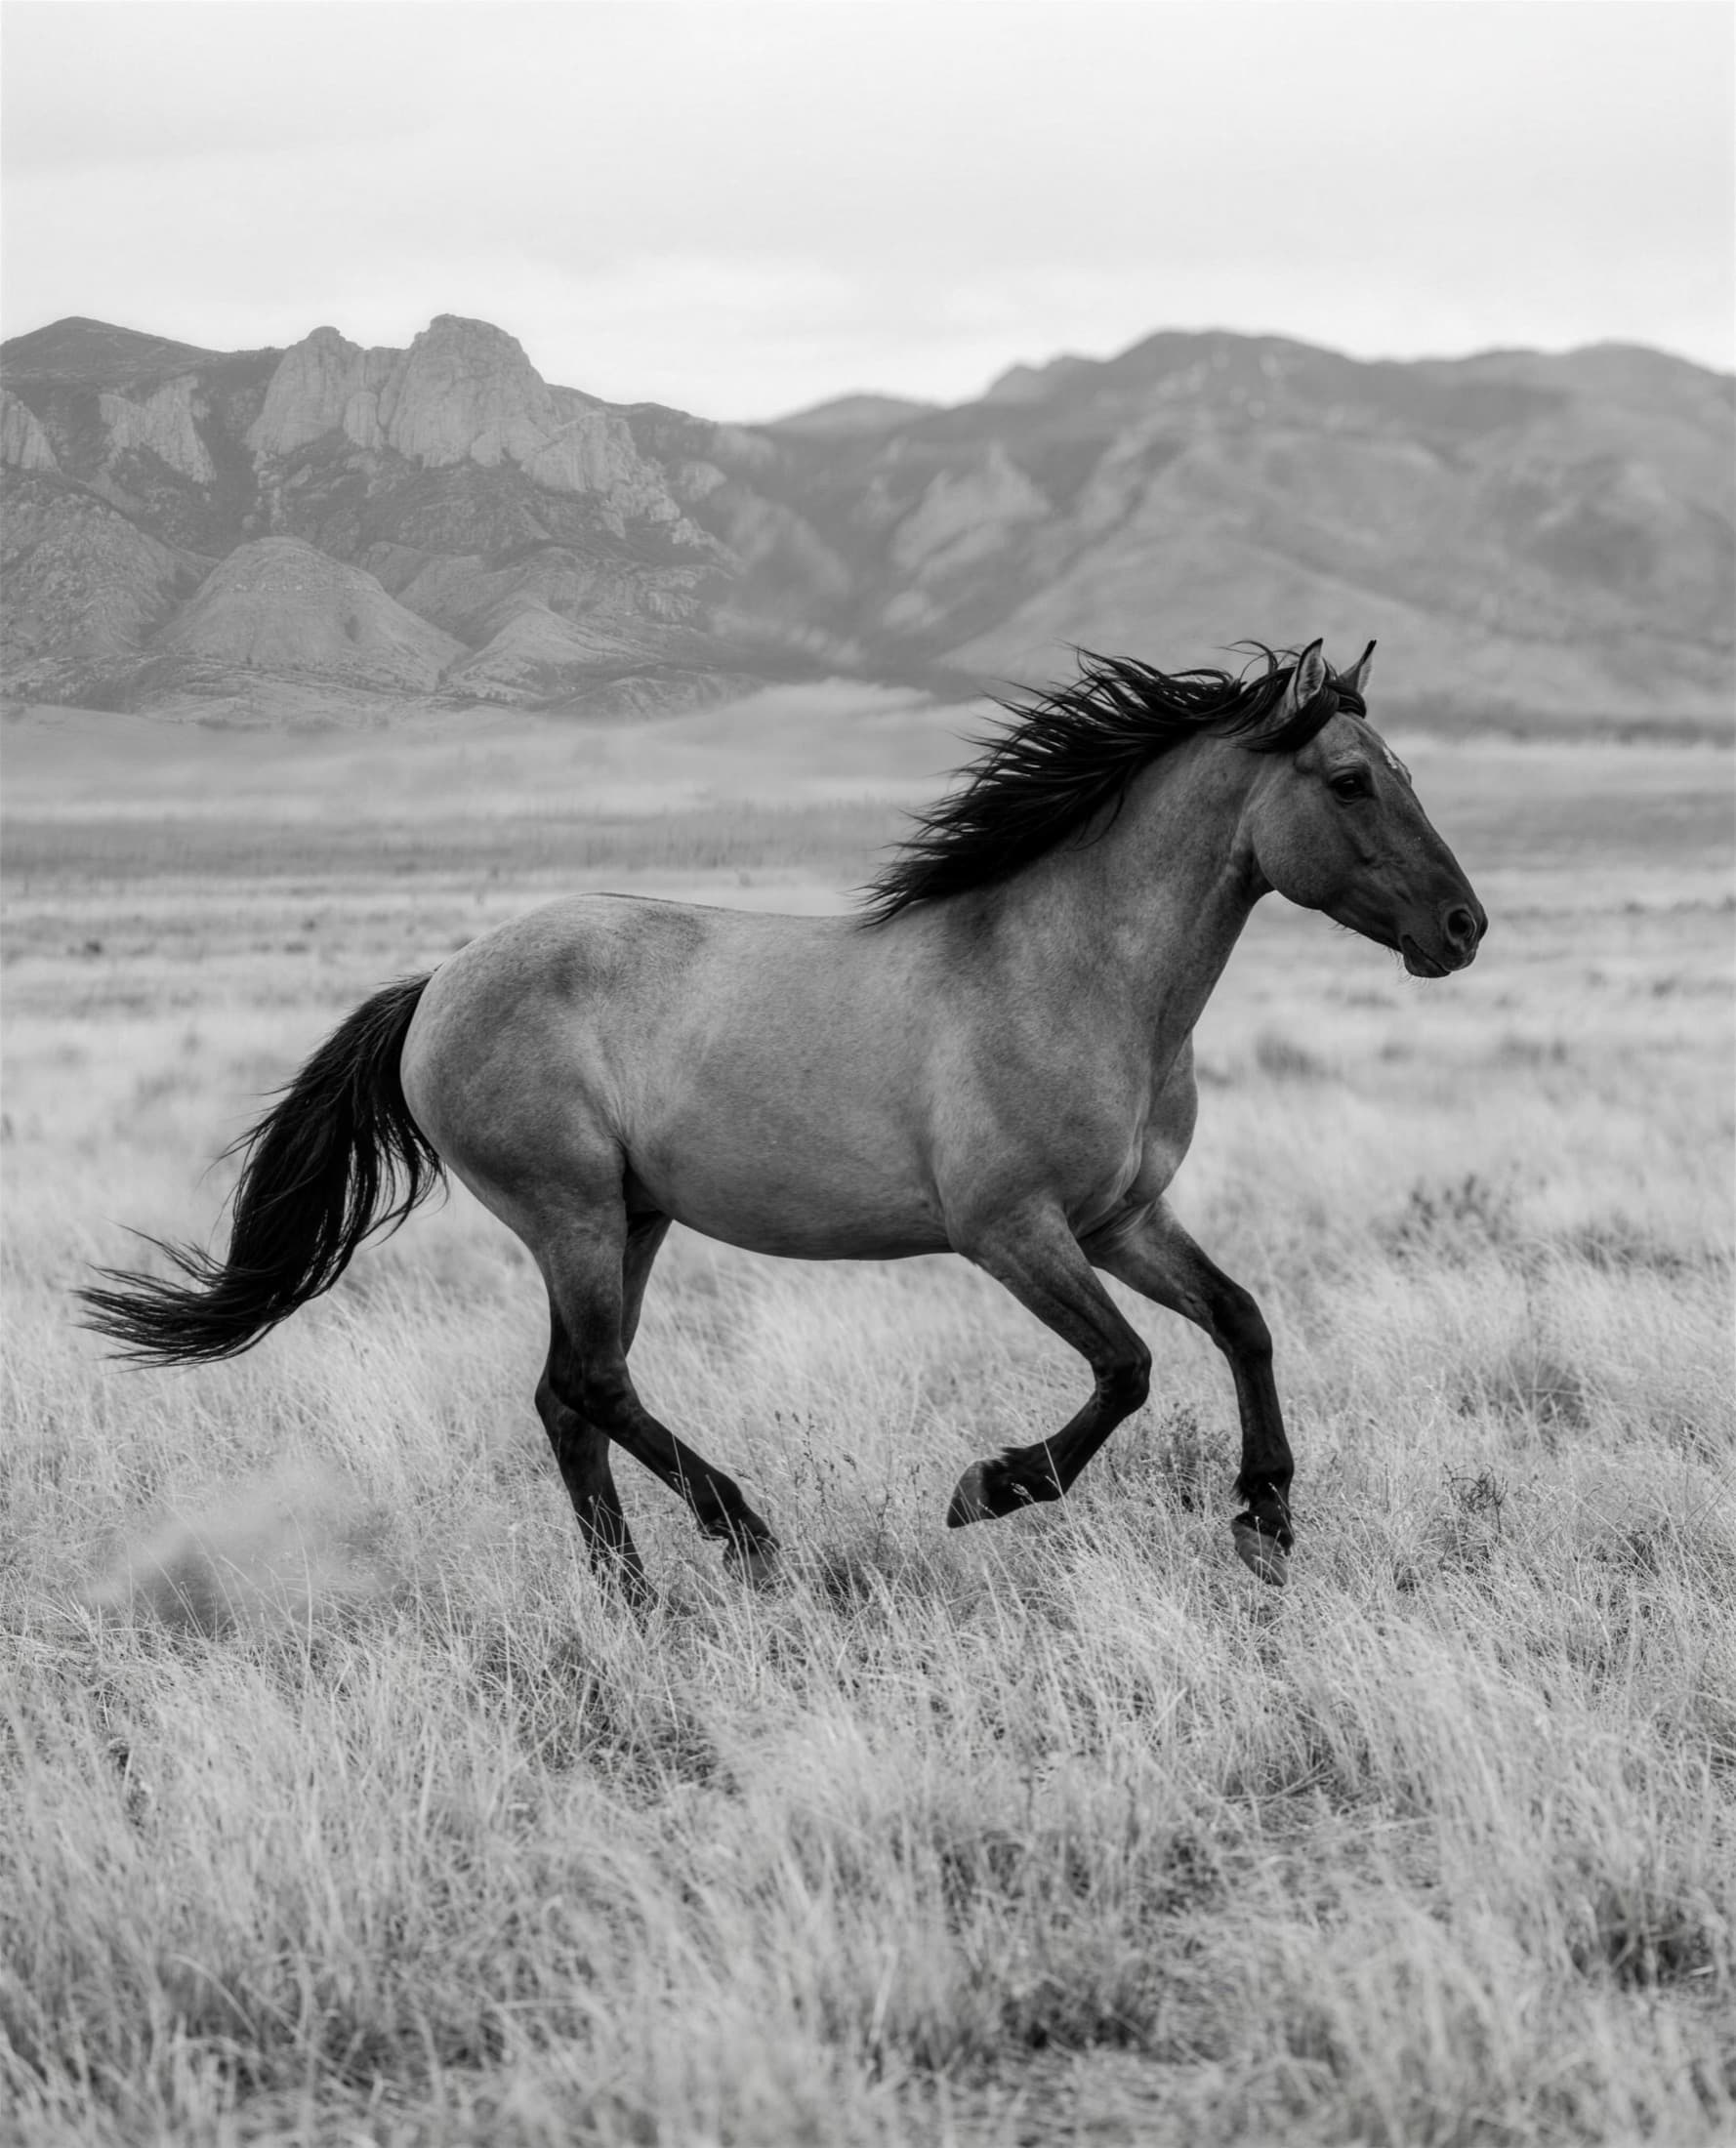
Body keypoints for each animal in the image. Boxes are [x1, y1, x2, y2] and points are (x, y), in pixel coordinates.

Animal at [81, 637, 1486, 1596]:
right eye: (1351, 782)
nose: (1464, 927)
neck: (1071, 974)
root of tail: (437, 984)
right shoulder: (1011, 1232)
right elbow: (1126, 1370)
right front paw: (988, 1487)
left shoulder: (1123, 1218)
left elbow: (1241, 1321)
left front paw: (1266, 1521)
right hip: (572, 1214)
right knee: (592, 1383)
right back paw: (743, 1538)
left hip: (631, 1220)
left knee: (565, 1399)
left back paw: (633, 1597)